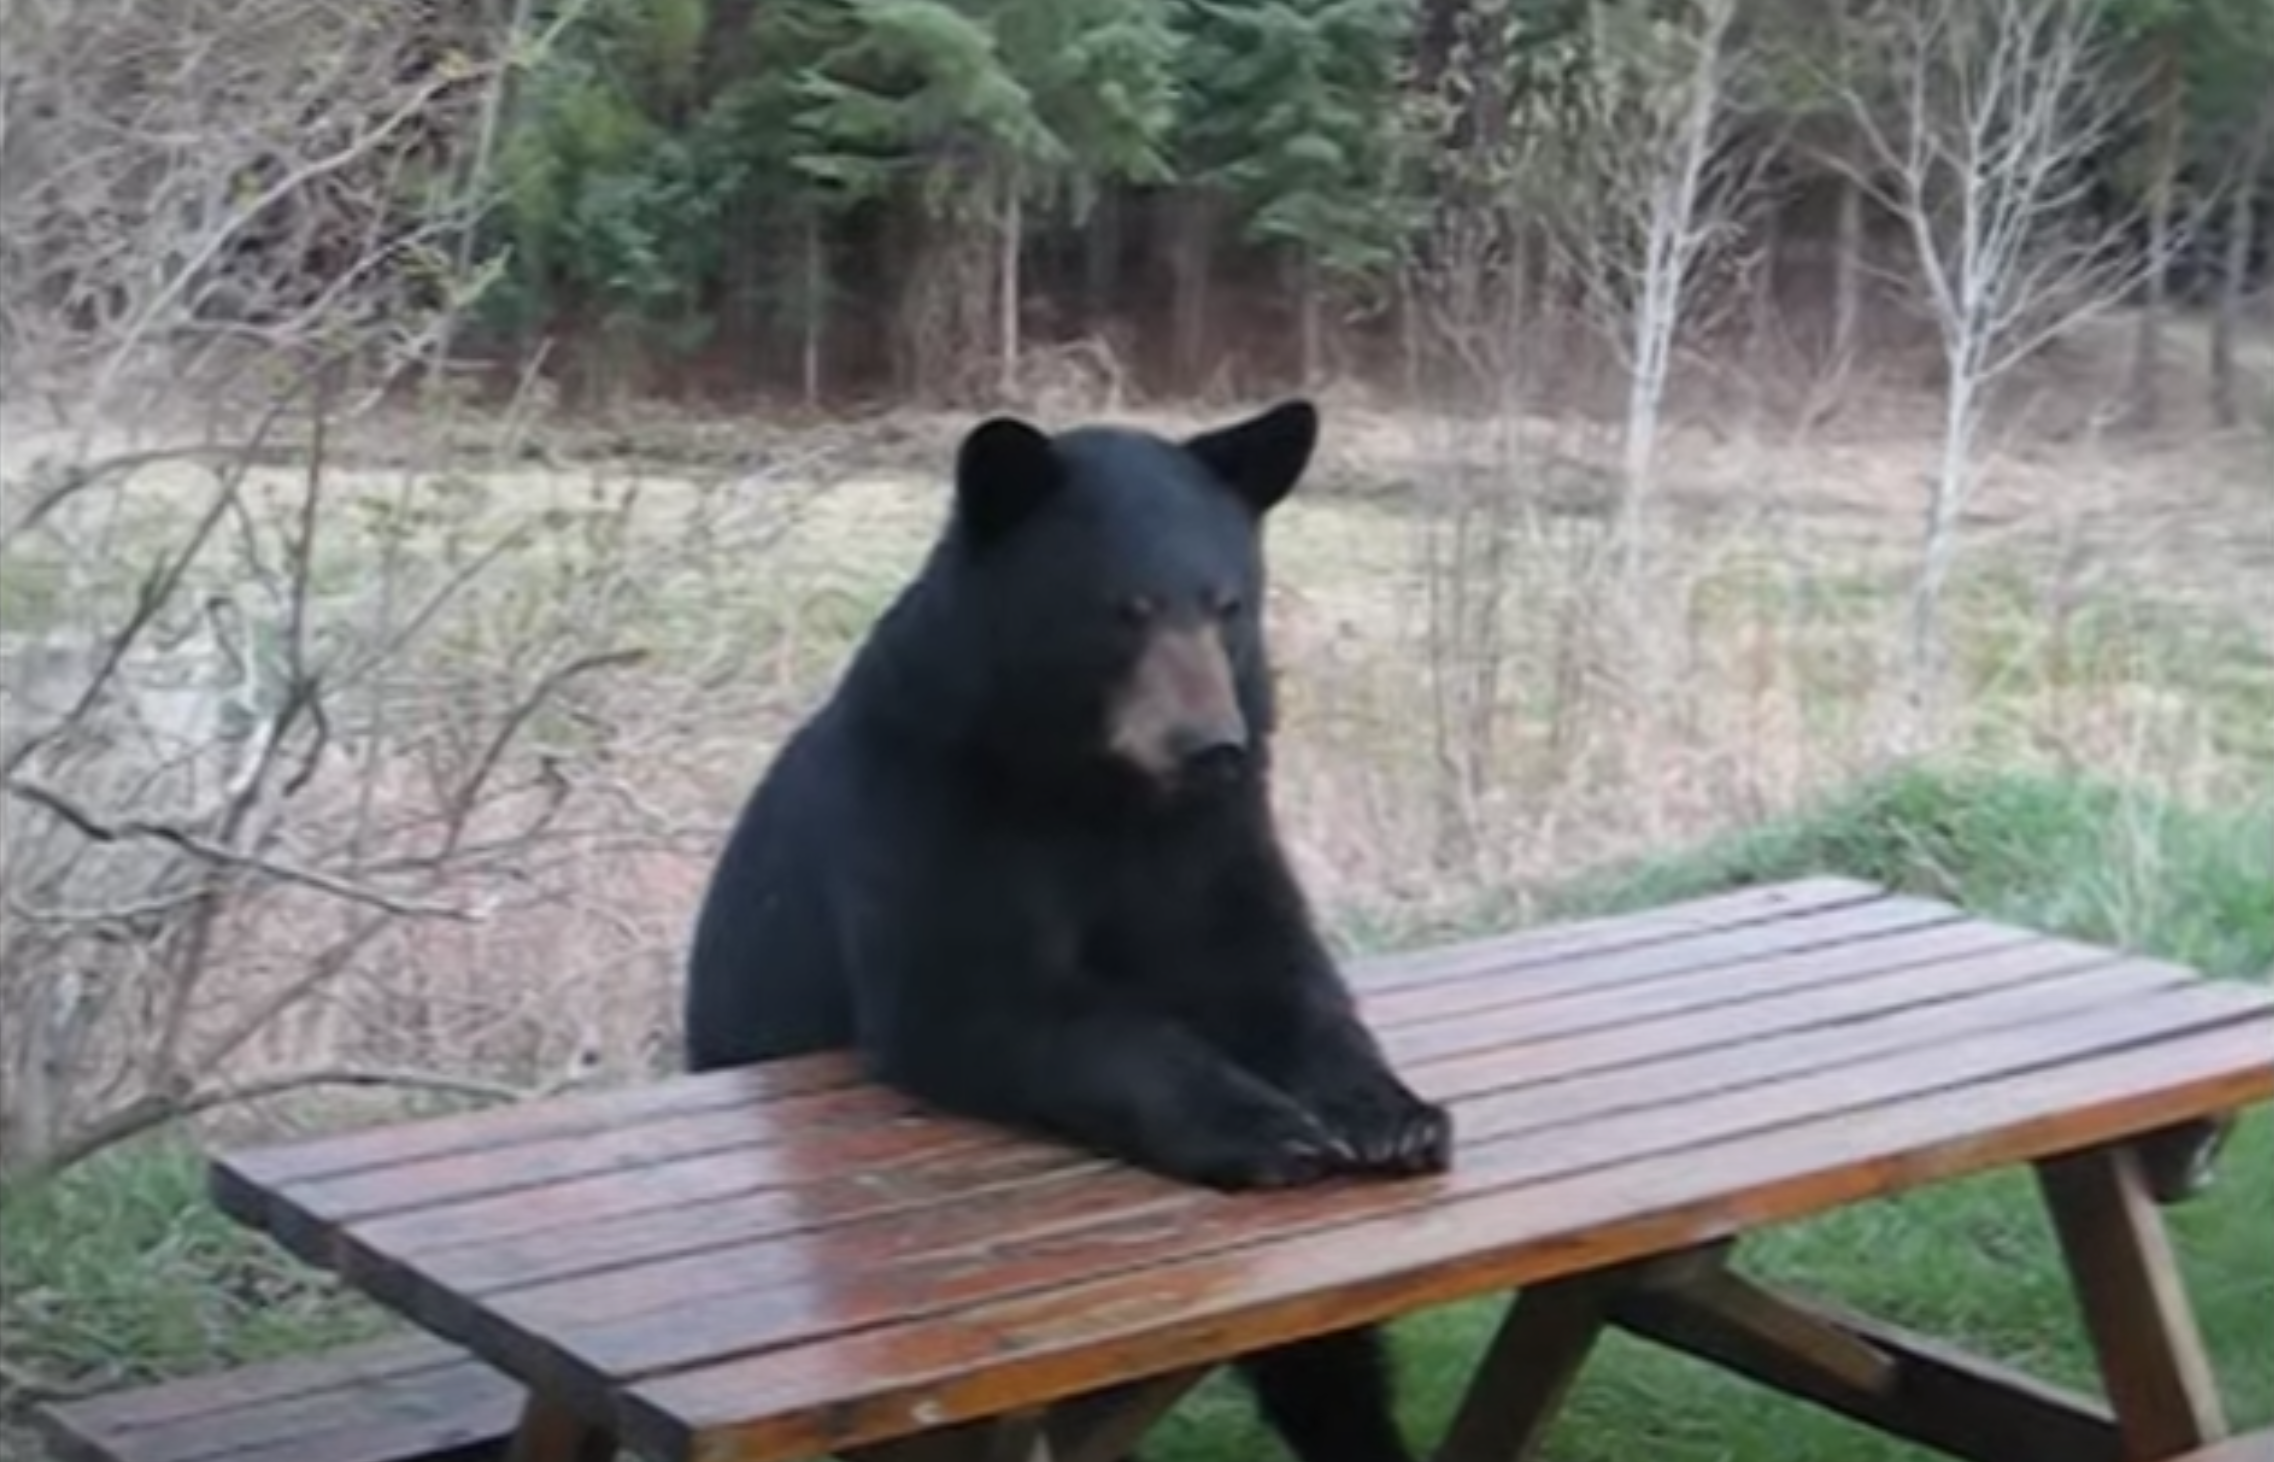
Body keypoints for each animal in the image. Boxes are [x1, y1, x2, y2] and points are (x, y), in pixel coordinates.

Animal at [682, 400, 1446, 1462]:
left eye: (1228, 605)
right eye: (1126, 609)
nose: (1211, 745)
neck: (1098, 791)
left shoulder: (1214, 834)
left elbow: (1270, 971)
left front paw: (1392, 1113)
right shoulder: (931, 807)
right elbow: (991, 1005)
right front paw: (1268, 1127)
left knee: (1327, 1360)